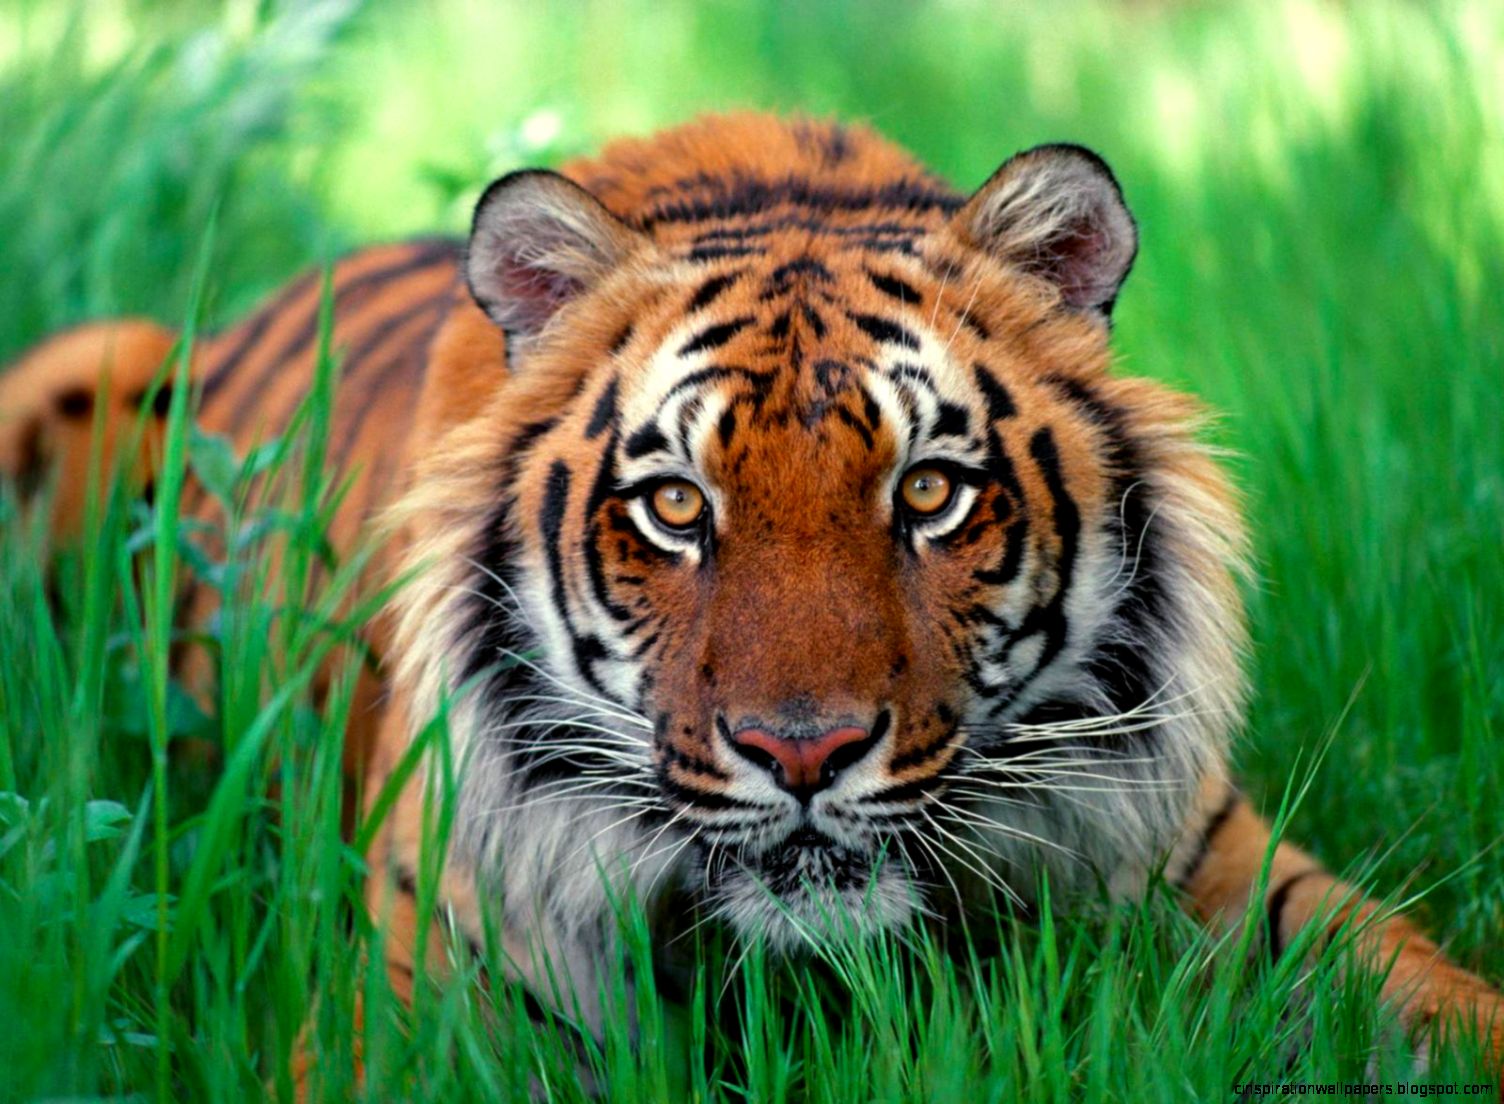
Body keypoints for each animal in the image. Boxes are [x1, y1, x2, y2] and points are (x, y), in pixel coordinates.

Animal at [3, 113, 1500, 1084]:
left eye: (928, 492)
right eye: (676, 509)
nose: (804, 753)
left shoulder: (1220, 868)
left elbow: (1433, 1004)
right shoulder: (423, 993)